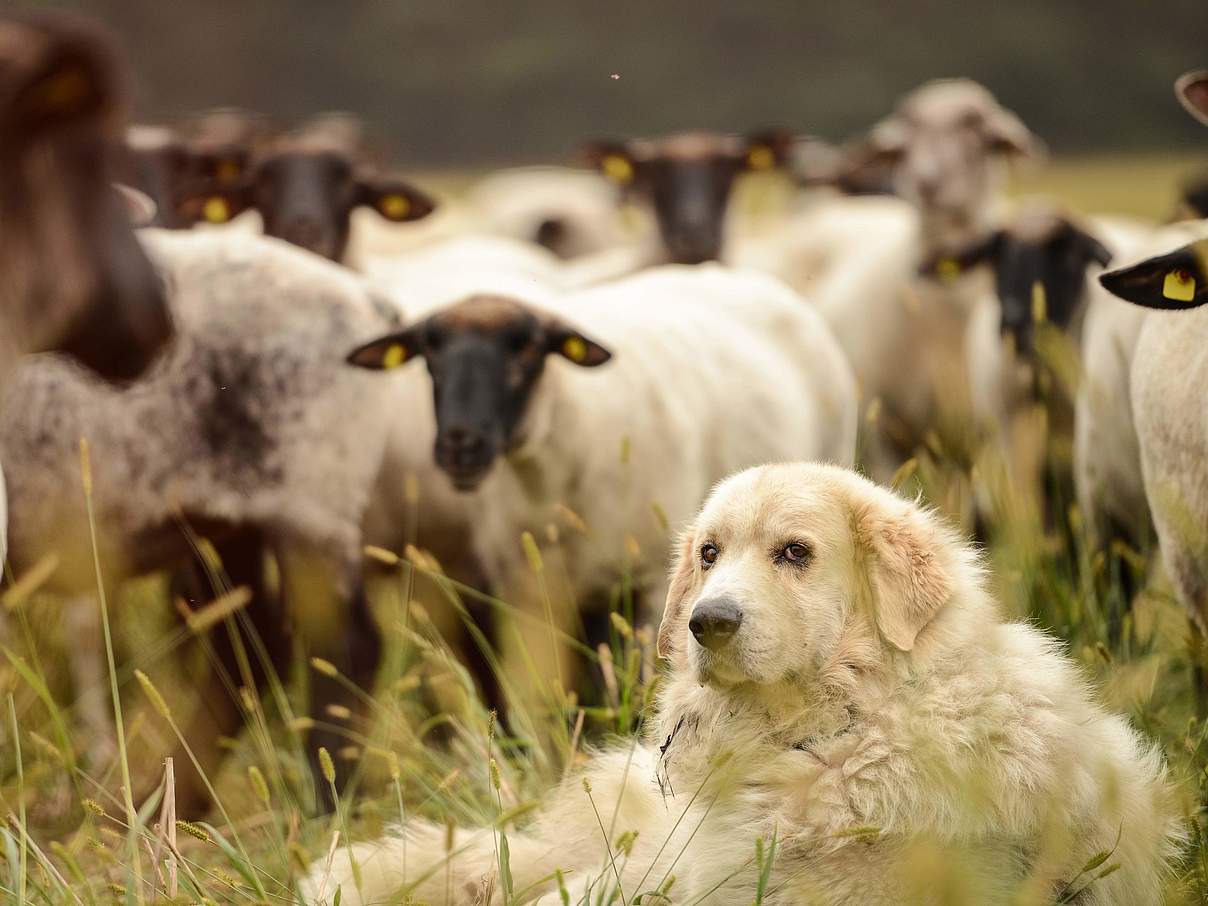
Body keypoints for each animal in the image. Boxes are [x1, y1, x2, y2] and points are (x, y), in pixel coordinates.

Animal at [0, 227, 398, 816]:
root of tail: (365, 295)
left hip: (312, 499)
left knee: (344, 648)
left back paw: (325, 805)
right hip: (227, 520)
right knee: (250, 646)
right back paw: (163, 806)